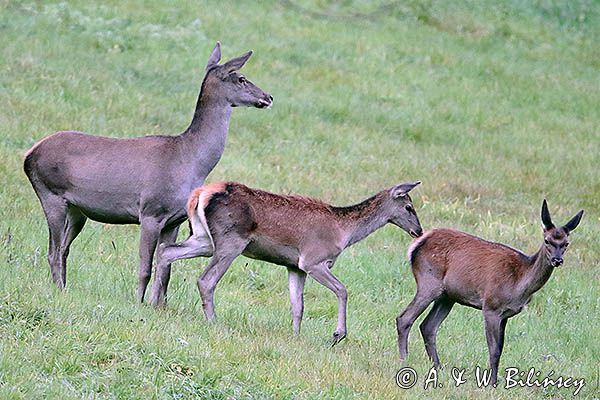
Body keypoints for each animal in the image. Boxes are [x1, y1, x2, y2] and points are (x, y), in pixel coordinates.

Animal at [24, 43, 274, 300]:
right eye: (241, 78)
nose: (268, 97)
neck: (191, 161)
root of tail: (30, 153)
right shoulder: (151, 212)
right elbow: (144, 266)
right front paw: (139, 302)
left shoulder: (175, 220)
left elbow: (166, 270)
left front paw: (159, 304)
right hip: (50, 192)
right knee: (53, 251)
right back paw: (58, 289)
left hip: (77, 210)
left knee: (64, 249)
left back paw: (64, 288)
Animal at [149, 180, 422, 344]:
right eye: (409, 206)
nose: (418, 231)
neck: (343, 232)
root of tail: (200, 194)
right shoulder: (313, 260)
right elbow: (343, 290)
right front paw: (338, 334)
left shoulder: (295, 266)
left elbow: (297, 305)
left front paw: (296, 337)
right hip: (231, 241)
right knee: (205, 280)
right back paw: (213, 321)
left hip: (203, 239)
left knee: (165, 250)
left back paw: (153, 304)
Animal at [396, 200, 584, 384]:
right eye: (547, 240)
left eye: (566, 243)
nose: (557, 260)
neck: (518, 285)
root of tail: (416, 244)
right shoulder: (491, 306)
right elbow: (493, 350)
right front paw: (492, 383)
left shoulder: (506, 314)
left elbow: (500, 348)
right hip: (429, 283)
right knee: (404, 318)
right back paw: (405, 361)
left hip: (447, 296)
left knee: (428, 326)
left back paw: (438, 367)